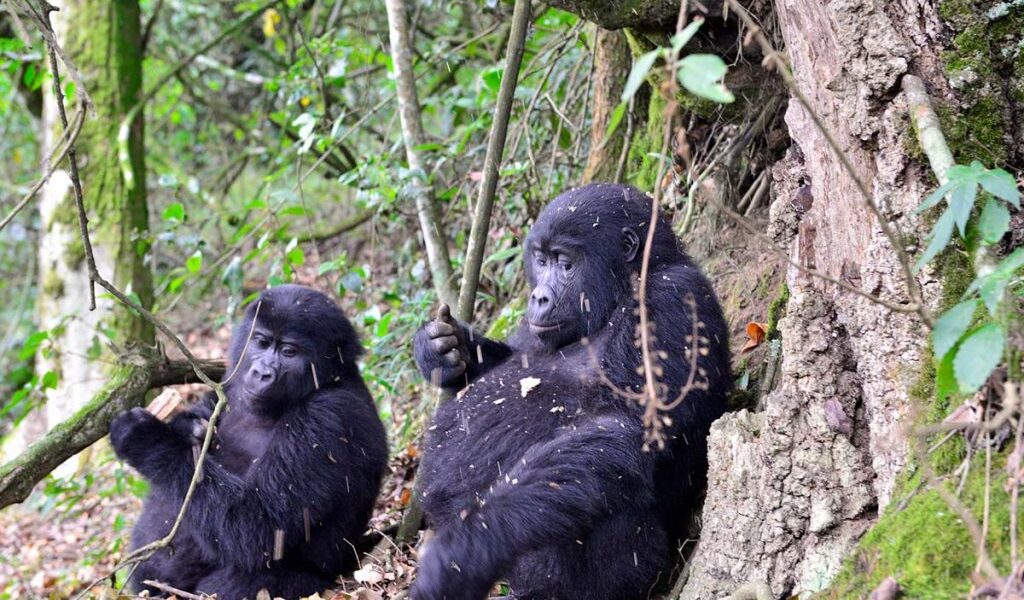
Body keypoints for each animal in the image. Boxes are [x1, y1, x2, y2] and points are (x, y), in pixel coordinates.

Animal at [110, 284, 385, 597]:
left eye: (288, 352)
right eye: (261, 343)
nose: (262, 372)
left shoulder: (328, 415)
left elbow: (257, 527)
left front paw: (144, 439)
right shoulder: (230, 382)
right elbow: (207, 410)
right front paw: (188, 426)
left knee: (230, 585)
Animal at [407, 182, 729, 597]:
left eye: (565, 263)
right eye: (541, 260)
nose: (538, 296)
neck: (624, 290)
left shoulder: (673, 300)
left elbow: (624, 431)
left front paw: (467, 545)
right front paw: (441, 348)